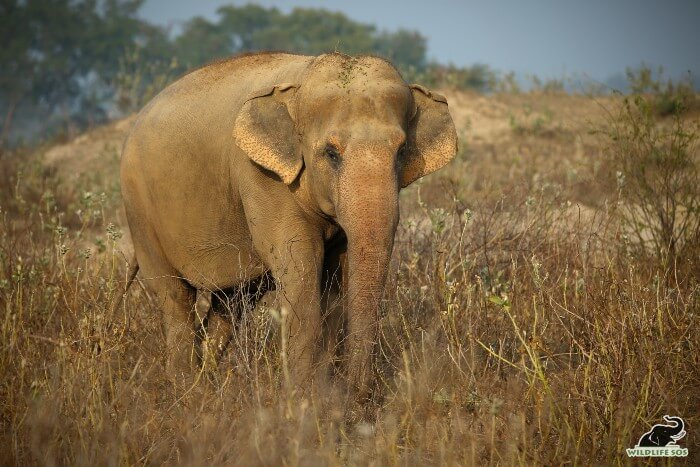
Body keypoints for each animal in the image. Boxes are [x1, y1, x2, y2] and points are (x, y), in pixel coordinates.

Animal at [119, 53, 456, 400]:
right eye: (331, 153)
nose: (359, 394)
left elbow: (337, 274)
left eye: (401, 152)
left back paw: (207, 379)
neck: (301, 80)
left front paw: (328, 393)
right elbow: (300, 267)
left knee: (231, 304)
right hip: (140, 210)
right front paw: (305, 397)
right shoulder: (263, 177)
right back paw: (186, 390)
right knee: (174, 296)